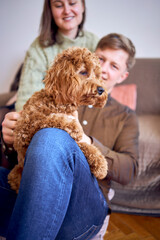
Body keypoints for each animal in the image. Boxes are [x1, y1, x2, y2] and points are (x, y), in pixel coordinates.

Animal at [8, 47, 108, 193]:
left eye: (97, 75)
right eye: (84, 72)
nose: (101, 89)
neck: (59, 103)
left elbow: (85, 145)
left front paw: (100, 164)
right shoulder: (24, 127)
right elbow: (49, 118)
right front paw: (73, 126)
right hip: (16, 172)